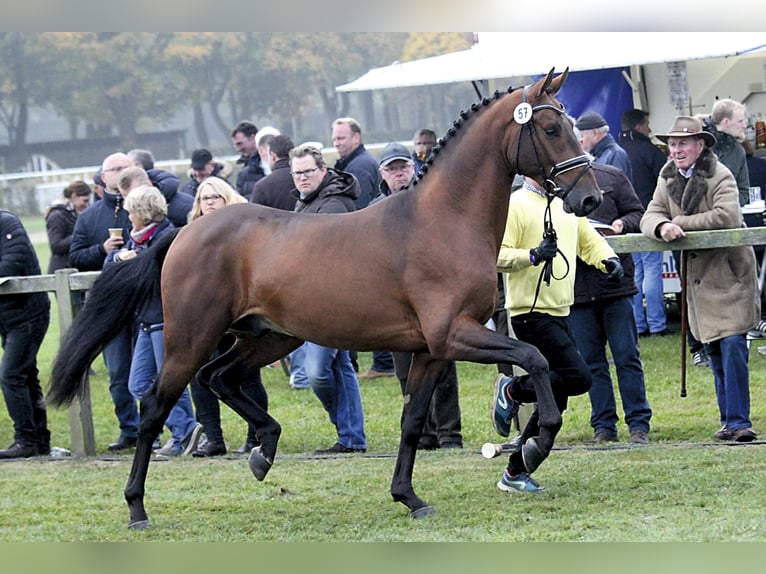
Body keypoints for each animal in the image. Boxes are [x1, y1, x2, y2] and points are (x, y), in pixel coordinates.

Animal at [48, 68, 604, 532]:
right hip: (191, 337)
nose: (590, 198)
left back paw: (263, 451)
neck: (443, 221)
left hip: (269, 338)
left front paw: (409, 497)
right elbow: (533, 359)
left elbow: (412, 424)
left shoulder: (430, 351)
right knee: (156, 409)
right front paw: (533, 448)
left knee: (219, 378)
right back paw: (137, 507)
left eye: (571, 124)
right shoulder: (453, 335)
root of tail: (183, 232)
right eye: (550, 129)